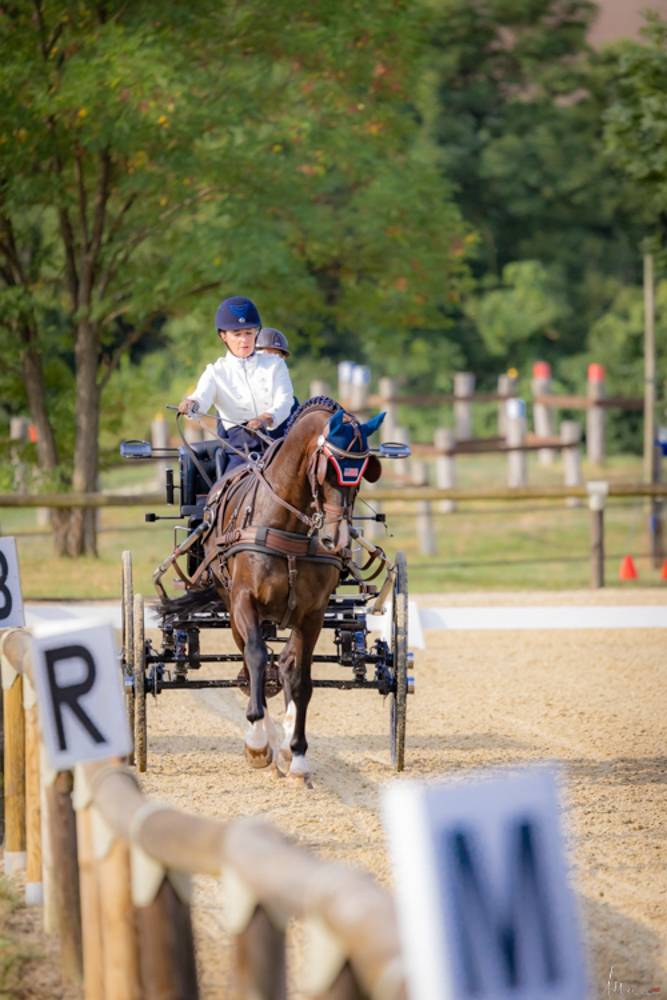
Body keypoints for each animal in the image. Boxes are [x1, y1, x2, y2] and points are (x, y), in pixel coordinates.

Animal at [161, 397, 385, 780]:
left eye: (360, 474)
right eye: (328, 470)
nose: (337, 539)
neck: (288, 526)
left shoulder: (312, 613)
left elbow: (301, 679)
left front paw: (297, 753)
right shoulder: (243, 600)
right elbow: (255, 656)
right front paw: (256, 741)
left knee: (286, 661)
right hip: (231, 601)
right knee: (254, 658)